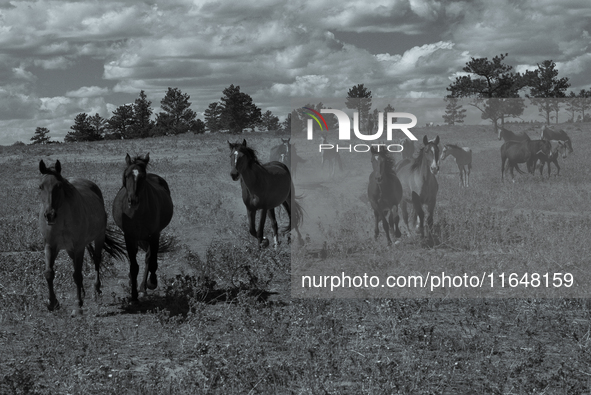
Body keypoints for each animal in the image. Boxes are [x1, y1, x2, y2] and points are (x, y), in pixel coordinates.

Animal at [38, 159, 126, 314]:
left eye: (58, 186)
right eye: (40, 186)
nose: (50, 215)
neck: (62, 220)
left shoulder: (79, 246)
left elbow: (77, 274)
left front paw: (78, 305)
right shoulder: (50, 246)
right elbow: (49, 273)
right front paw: (52, 303)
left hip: (98, 238)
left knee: (96, 261)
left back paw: (96, 290)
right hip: (70, 249)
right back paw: (83, 292)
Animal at [112, 155, 173, 304]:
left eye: (142, 176)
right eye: (126, 175)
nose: (133, 200)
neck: (137, 213)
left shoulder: (154, 234)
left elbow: (152, 261)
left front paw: (152, 283)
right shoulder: (129, 236)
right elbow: (134, 266)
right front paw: (133, 296)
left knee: (148, 258)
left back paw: (144, 286)